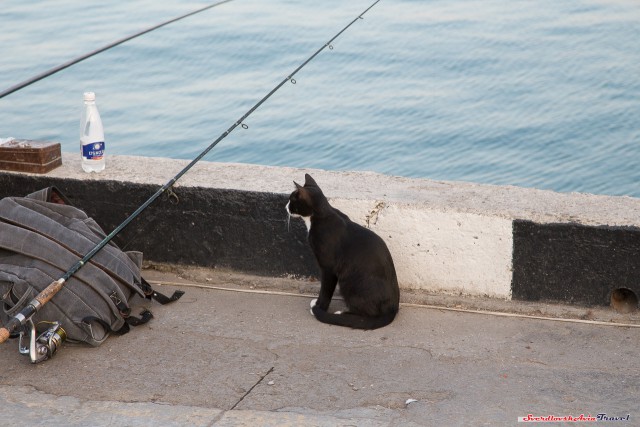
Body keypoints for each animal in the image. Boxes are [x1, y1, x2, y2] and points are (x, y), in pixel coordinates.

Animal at [286, 174, 398, 332]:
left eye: (291, 200)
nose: (286, 206)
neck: (323, 215)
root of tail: (393, 309)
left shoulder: (328, 268)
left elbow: (325, 290)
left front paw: (319, 307)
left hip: (348, 282)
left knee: (369, 313)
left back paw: (342, 313)